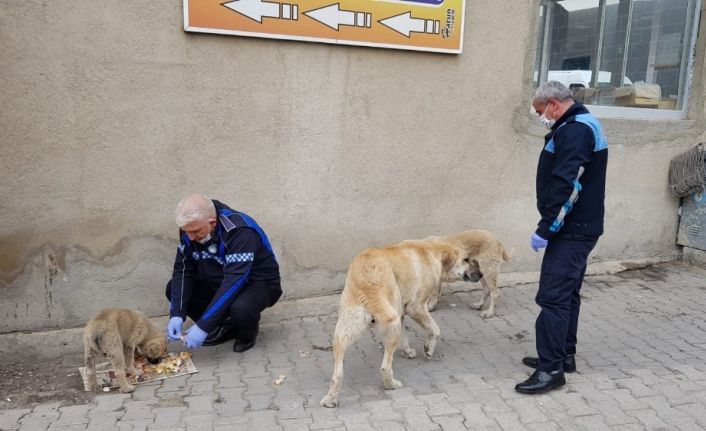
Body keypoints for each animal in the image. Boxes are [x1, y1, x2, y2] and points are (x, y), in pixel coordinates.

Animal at [320, 233, 472, 408]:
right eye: (466, 260)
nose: (481, 274)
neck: (432, 250)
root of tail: (365, 277)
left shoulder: (401, 312)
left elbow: (405, 336)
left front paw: (407, 351)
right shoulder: (416, 307)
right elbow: (435, 330)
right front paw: (429, 349)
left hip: (345, 329)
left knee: (337, 374)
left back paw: (330, 399)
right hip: (389, 324)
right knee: (385, 367)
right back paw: (391, 384)